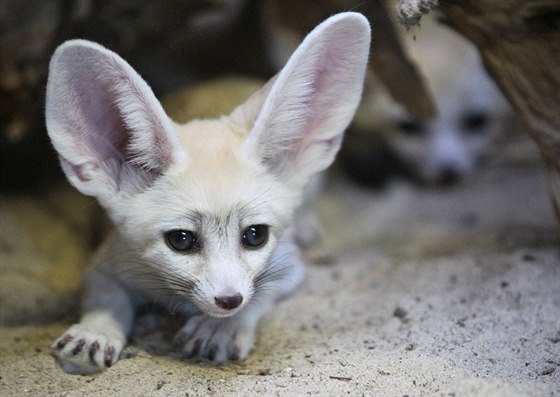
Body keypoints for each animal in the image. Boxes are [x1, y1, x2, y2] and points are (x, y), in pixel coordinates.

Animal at [46, 11, 370, 372]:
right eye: (181, 240)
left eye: (255, 235)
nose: (229, 300)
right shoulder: (108, 262)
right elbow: (106, 299)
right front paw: (96, 331)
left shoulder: (288, 265)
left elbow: (261, 293)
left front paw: (221, 328)